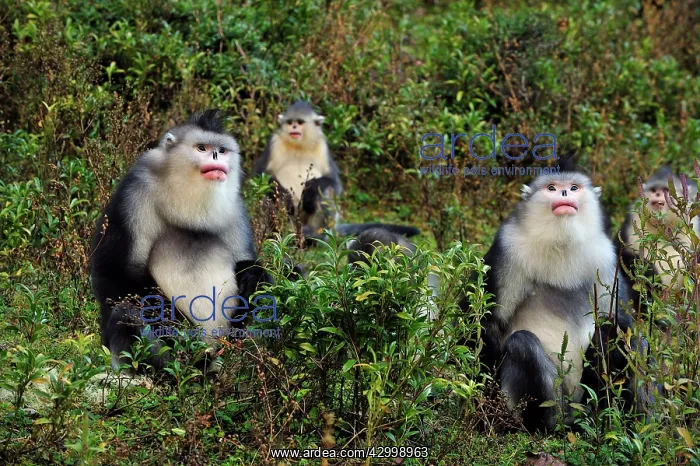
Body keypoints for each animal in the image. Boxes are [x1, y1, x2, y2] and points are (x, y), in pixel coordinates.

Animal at [90, 109, 270, 373]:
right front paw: (179, 328)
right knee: (128, 309)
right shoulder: (134, 193)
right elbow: (116, 274)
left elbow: (247, 262)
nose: (216, 156)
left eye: (222, 150)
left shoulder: (235, 209)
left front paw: (254, 277)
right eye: (202, 148)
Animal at [253, 100, 421, 244]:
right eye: (289, 122)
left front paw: (311, 187)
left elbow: (334, 182)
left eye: (299, 122)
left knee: (325, 192)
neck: (299, 145)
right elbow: (260, 176)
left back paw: (313, 236)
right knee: (267, 197)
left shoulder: (322, 146)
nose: (293, 128)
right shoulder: (274, 143)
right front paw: (284, 194)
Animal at [463, 152, 643, 432]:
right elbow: (487, 322)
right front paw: (484, 407)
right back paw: (548, 426)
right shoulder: (507, 249)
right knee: (522, 345)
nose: (564, 193)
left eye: (574, 187)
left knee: (613, 330)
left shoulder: (607, 257)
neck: (561, 243)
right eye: (551, 188)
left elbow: (622, 323)